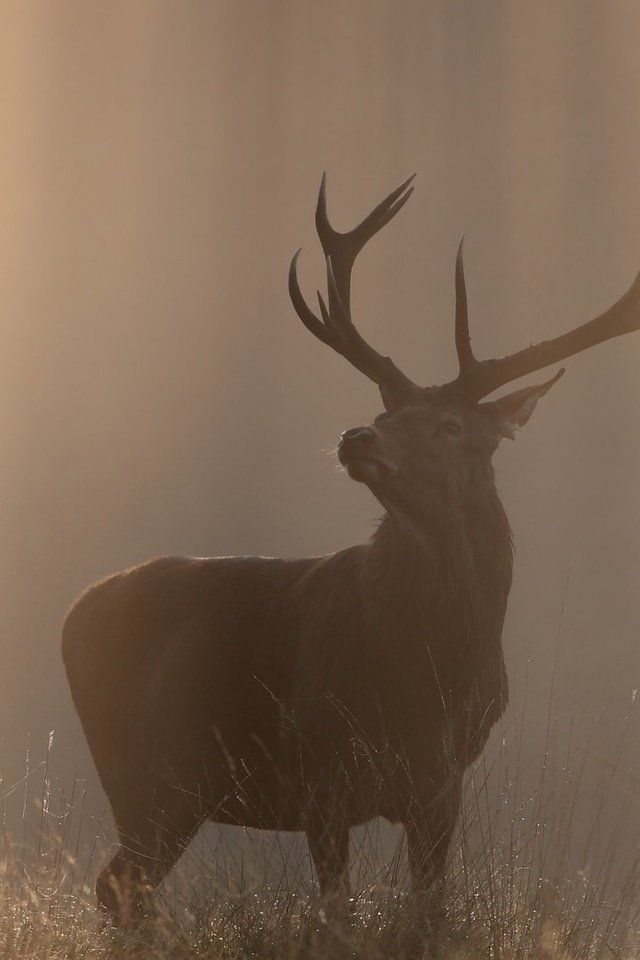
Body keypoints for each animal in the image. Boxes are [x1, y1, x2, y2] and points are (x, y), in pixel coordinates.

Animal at [62, 174, 640, 936]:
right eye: (387, 412)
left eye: (450, 425)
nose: (356, 436)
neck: (431, 668)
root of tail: (72, 615)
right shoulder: (320, 764)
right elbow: (334, 911)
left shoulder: (443, 783)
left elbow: (427, 908)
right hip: (143, 770)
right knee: (119, 884)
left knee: (121, 885)